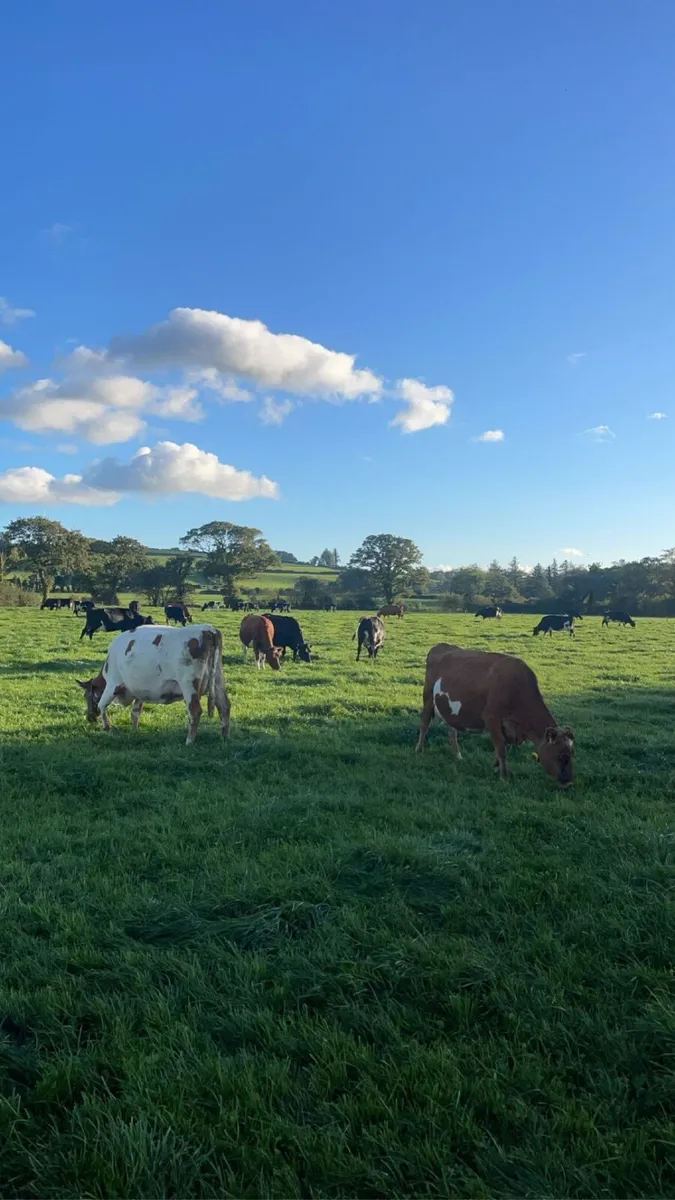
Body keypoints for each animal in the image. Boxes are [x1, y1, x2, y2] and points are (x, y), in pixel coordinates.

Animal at [77, 623, 230, 744]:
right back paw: (223, 737)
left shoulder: (113, 684)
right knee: (224, 706)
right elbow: (135, 712)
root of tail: (208, 629)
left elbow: (102, 705)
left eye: (85, 696)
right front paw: (134, 731)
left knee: (195, 711)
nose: (89, 718)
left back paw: (189, 741)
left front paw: (107, 727)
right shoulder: (140, 691)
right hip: (218, 680)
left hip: (189, 684)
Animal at [415, 642, 574, 787]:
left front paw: (496, 768)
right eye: (562, 755)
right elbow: (501, 749)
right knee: (424, 724)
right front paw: (504, 777)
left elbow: (500, 750)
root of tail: (440, 645)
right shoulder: (492, 719)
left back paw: (457, 755)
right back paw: (419, 750)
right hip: (428, 698)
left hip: (449, 709)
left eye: (572, 753)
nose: (569, 782)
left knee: (451, 730)